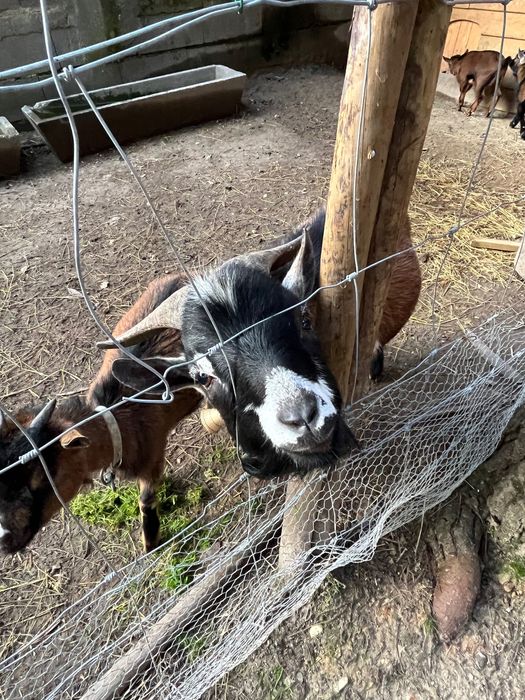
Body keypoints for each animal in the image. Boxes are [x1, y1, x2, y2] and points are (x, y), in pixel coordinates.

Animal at [0, 274, 202, 556]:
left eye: (39, 477)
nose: (4, 540)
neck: (121, 419)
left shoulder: (152, 456)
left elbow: (146, 500)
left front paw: (150, 544)